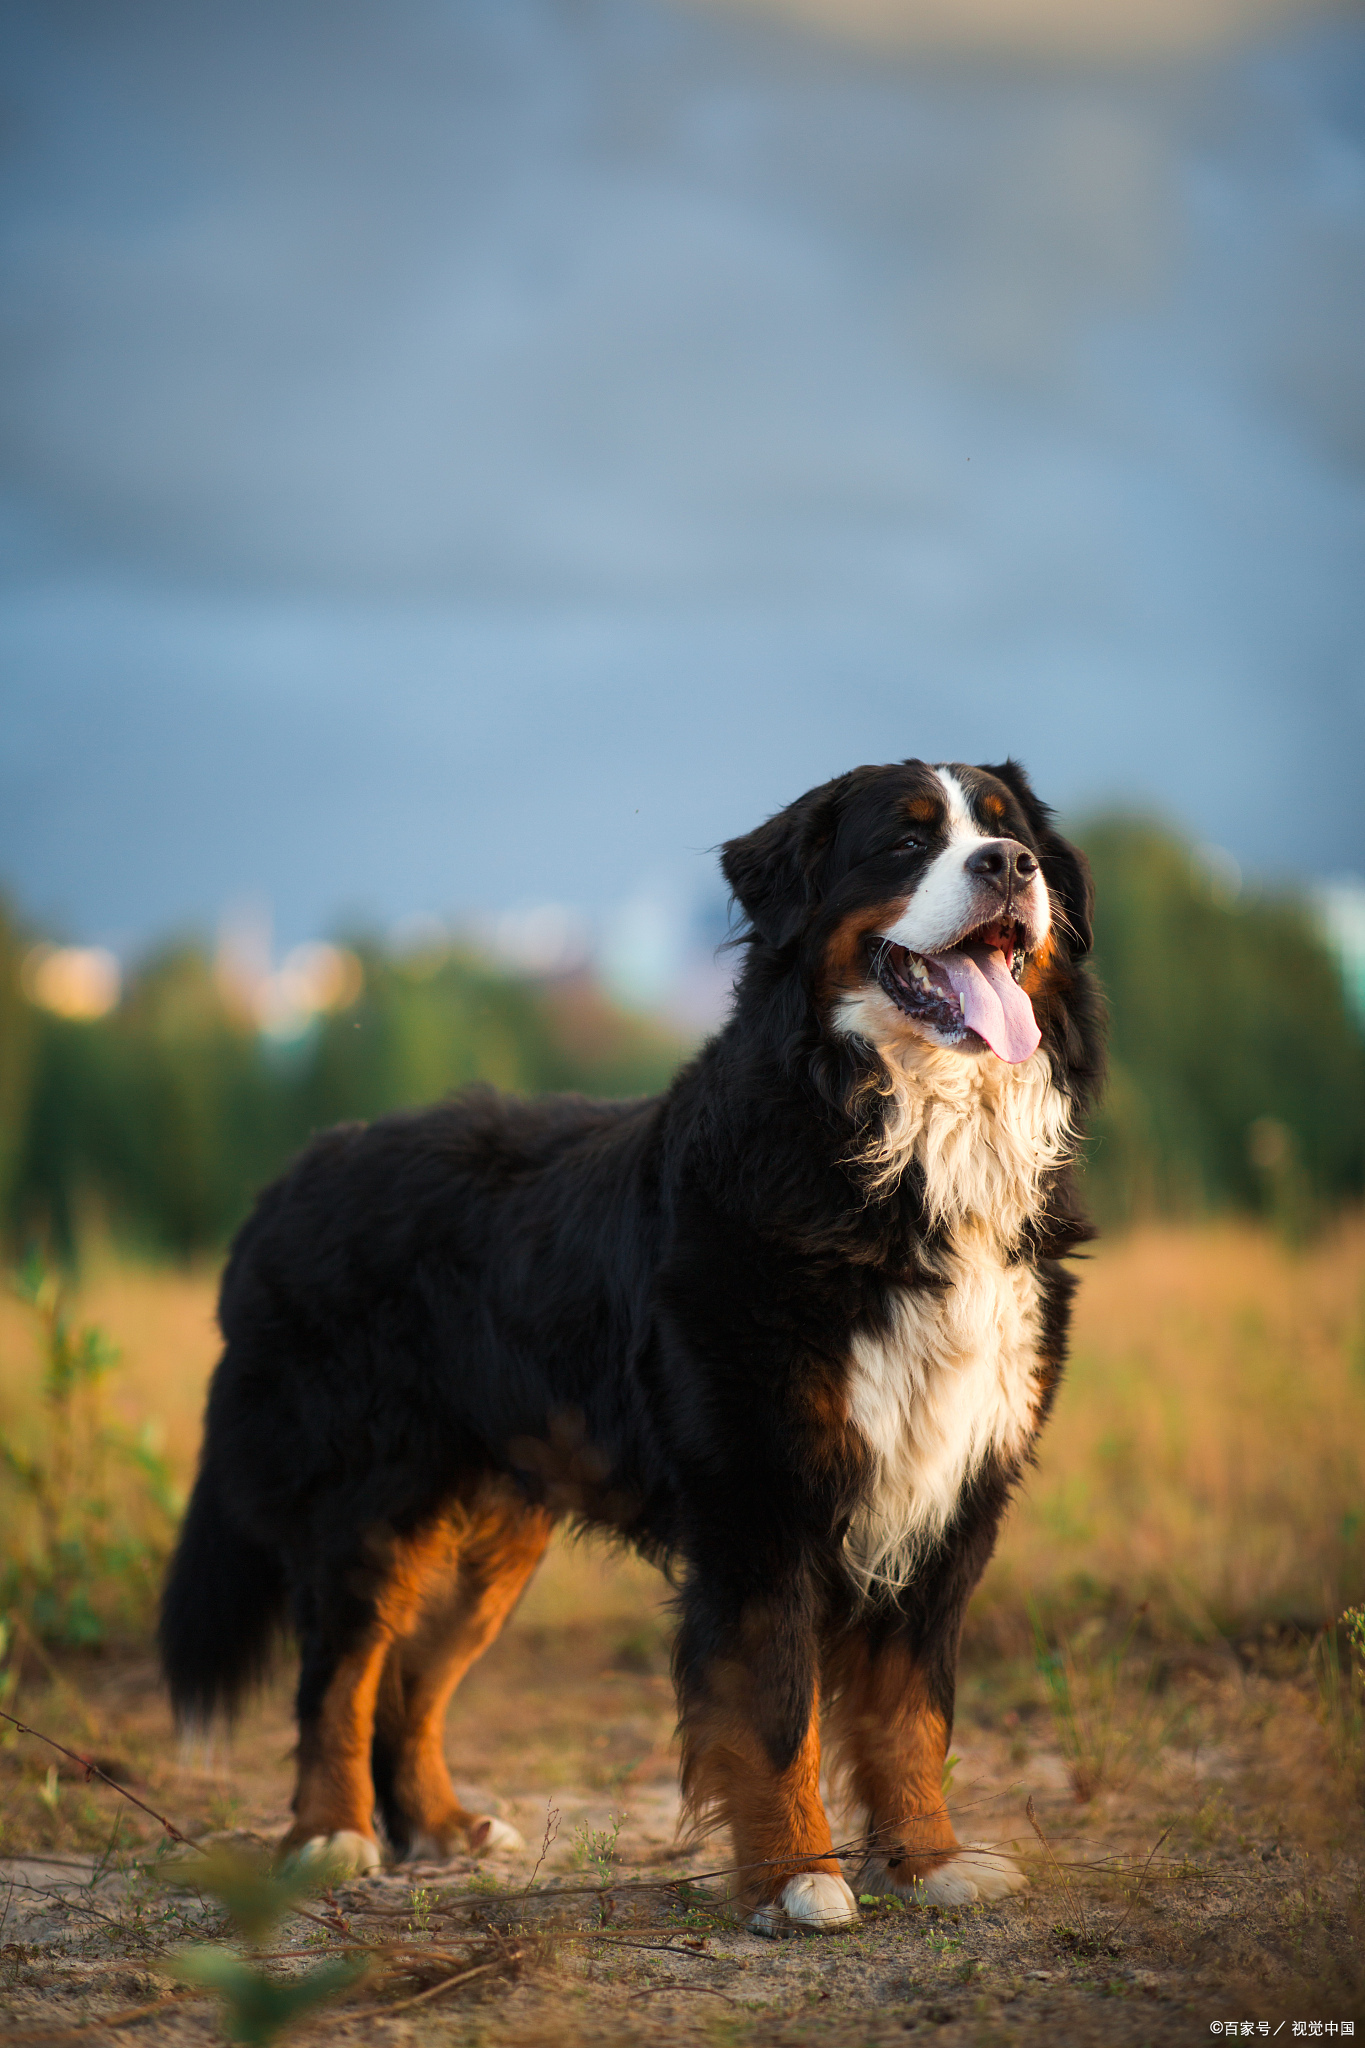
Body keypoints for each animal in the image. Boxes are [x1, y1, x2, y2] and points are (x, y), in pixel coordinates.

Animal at [162, 757, 1096, 1933]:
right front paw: (796, 1879)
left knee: (413, 1679)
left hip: (492, 1530)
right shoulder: (758, 1495)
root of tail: (287, 1179)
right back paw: (330, 1834)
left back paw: (442, 1825)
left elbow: (910, 1709)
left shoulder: (952, 1491)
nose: (1009, 867)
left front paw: (930, 1862)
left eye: (1011, 832)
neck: (897, 1154)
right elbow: (777, 1708)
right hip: (371, 1495)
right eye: (907, 840)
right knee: (340, 1671)